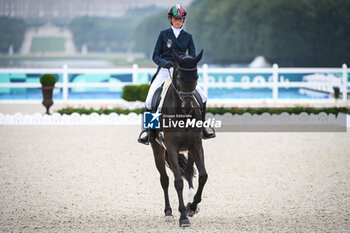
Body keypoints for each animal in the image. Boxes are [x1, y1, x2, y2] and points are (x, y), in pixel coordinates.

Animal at [151, 50, 208, 227]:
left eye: (196, 76)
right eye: (180, 77)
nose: (187, 108)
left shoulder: (196, 145)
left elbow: (203, 176)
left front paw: (192, 207)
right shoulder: (171, 148)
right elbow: (177, 182)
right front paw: (183, 216)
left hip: (189, 150)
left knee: (189, 173)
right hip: (158, 150)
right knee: (164, 180)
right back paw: (168, 213)